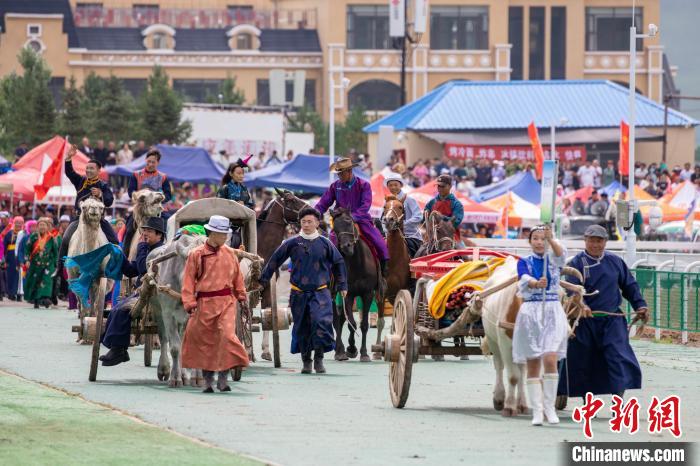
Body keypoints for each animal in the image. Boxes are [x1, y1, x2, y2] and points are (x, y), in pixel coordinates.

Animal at [66, 198, 108, 344]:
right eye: (84, 207)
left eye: (102, 207)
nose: (94, 209)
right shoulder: (77, 279)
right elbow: (84, 306)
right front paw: (82, 336)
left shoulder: (96, 280)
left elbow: (94, 304)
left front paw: (90, 336)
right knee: (80, 303)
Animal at [332, 208, 386, 364]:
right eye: (335, 228)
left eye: (350, 223)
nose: (346, 247)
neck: (357, 263)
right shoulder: (348, 294)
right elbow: (352, 323)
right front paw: (351, 349)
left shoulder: (367, 294)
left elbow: (363, 324)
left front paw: (364, 353)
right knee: (336, 320)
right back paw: (340, 351)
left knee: (340, 319)